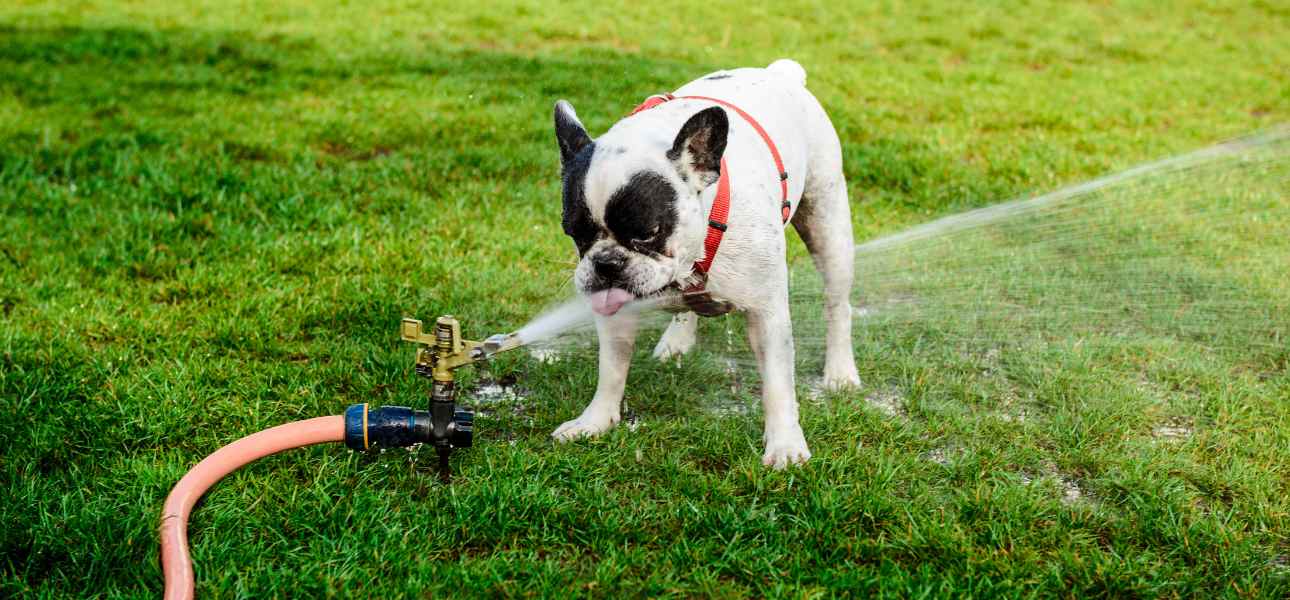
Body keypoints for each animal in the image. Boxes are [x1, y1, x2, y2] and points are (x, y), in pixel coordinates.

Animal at [546, 58, 856, 464]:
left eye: (648, 233)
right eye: (574, 232)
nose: (606, 263)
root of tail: (780, 72)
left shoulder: (767, 314)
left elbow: (777, 383)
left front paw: (785, 445)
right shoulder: (616, 312)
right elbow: (611, 368)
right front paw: (595, 421)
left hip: (828, 226)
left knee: (837, 305)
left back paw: (840, 371)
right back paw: (677, 339)